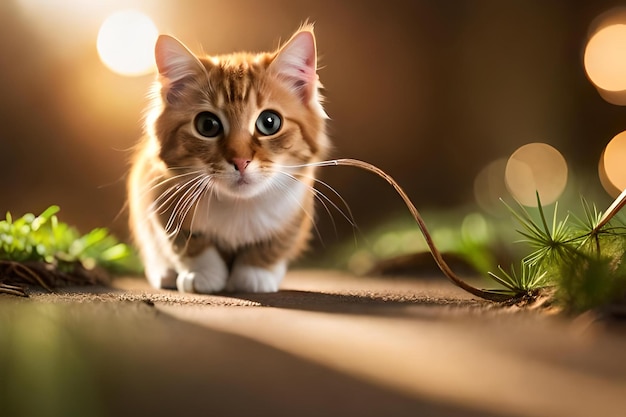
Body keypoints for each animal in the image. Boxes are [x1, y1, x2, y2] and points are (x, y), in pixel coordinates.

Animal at [129, 25, 330, 292]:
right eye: (207, 125)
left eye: (269, 122)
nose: (241, 160)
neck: (238, 205)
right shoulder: (156, 191)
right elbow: (184, 243)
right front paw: (203, 273)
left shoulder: (298, 206)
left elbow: (275, 245)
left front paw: (254, 274)